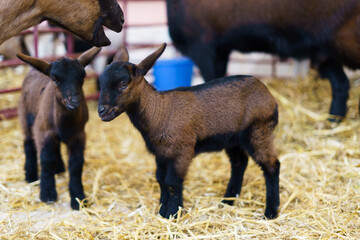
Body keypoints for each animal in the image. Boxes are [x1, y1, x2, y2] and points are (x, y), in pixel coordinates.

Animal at [17, 47, 100, 210]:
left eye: (82, 76)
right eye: (55, 79)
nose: (75, 102)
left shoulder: (79, 135)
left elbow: (76, 164)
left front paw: (78, 198)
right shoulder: (43, 132)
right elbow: (46, 160)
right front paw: (47, 194)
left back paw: (59, 168)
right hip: (25, 116)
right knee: (28, 143)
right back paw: (30, 176)